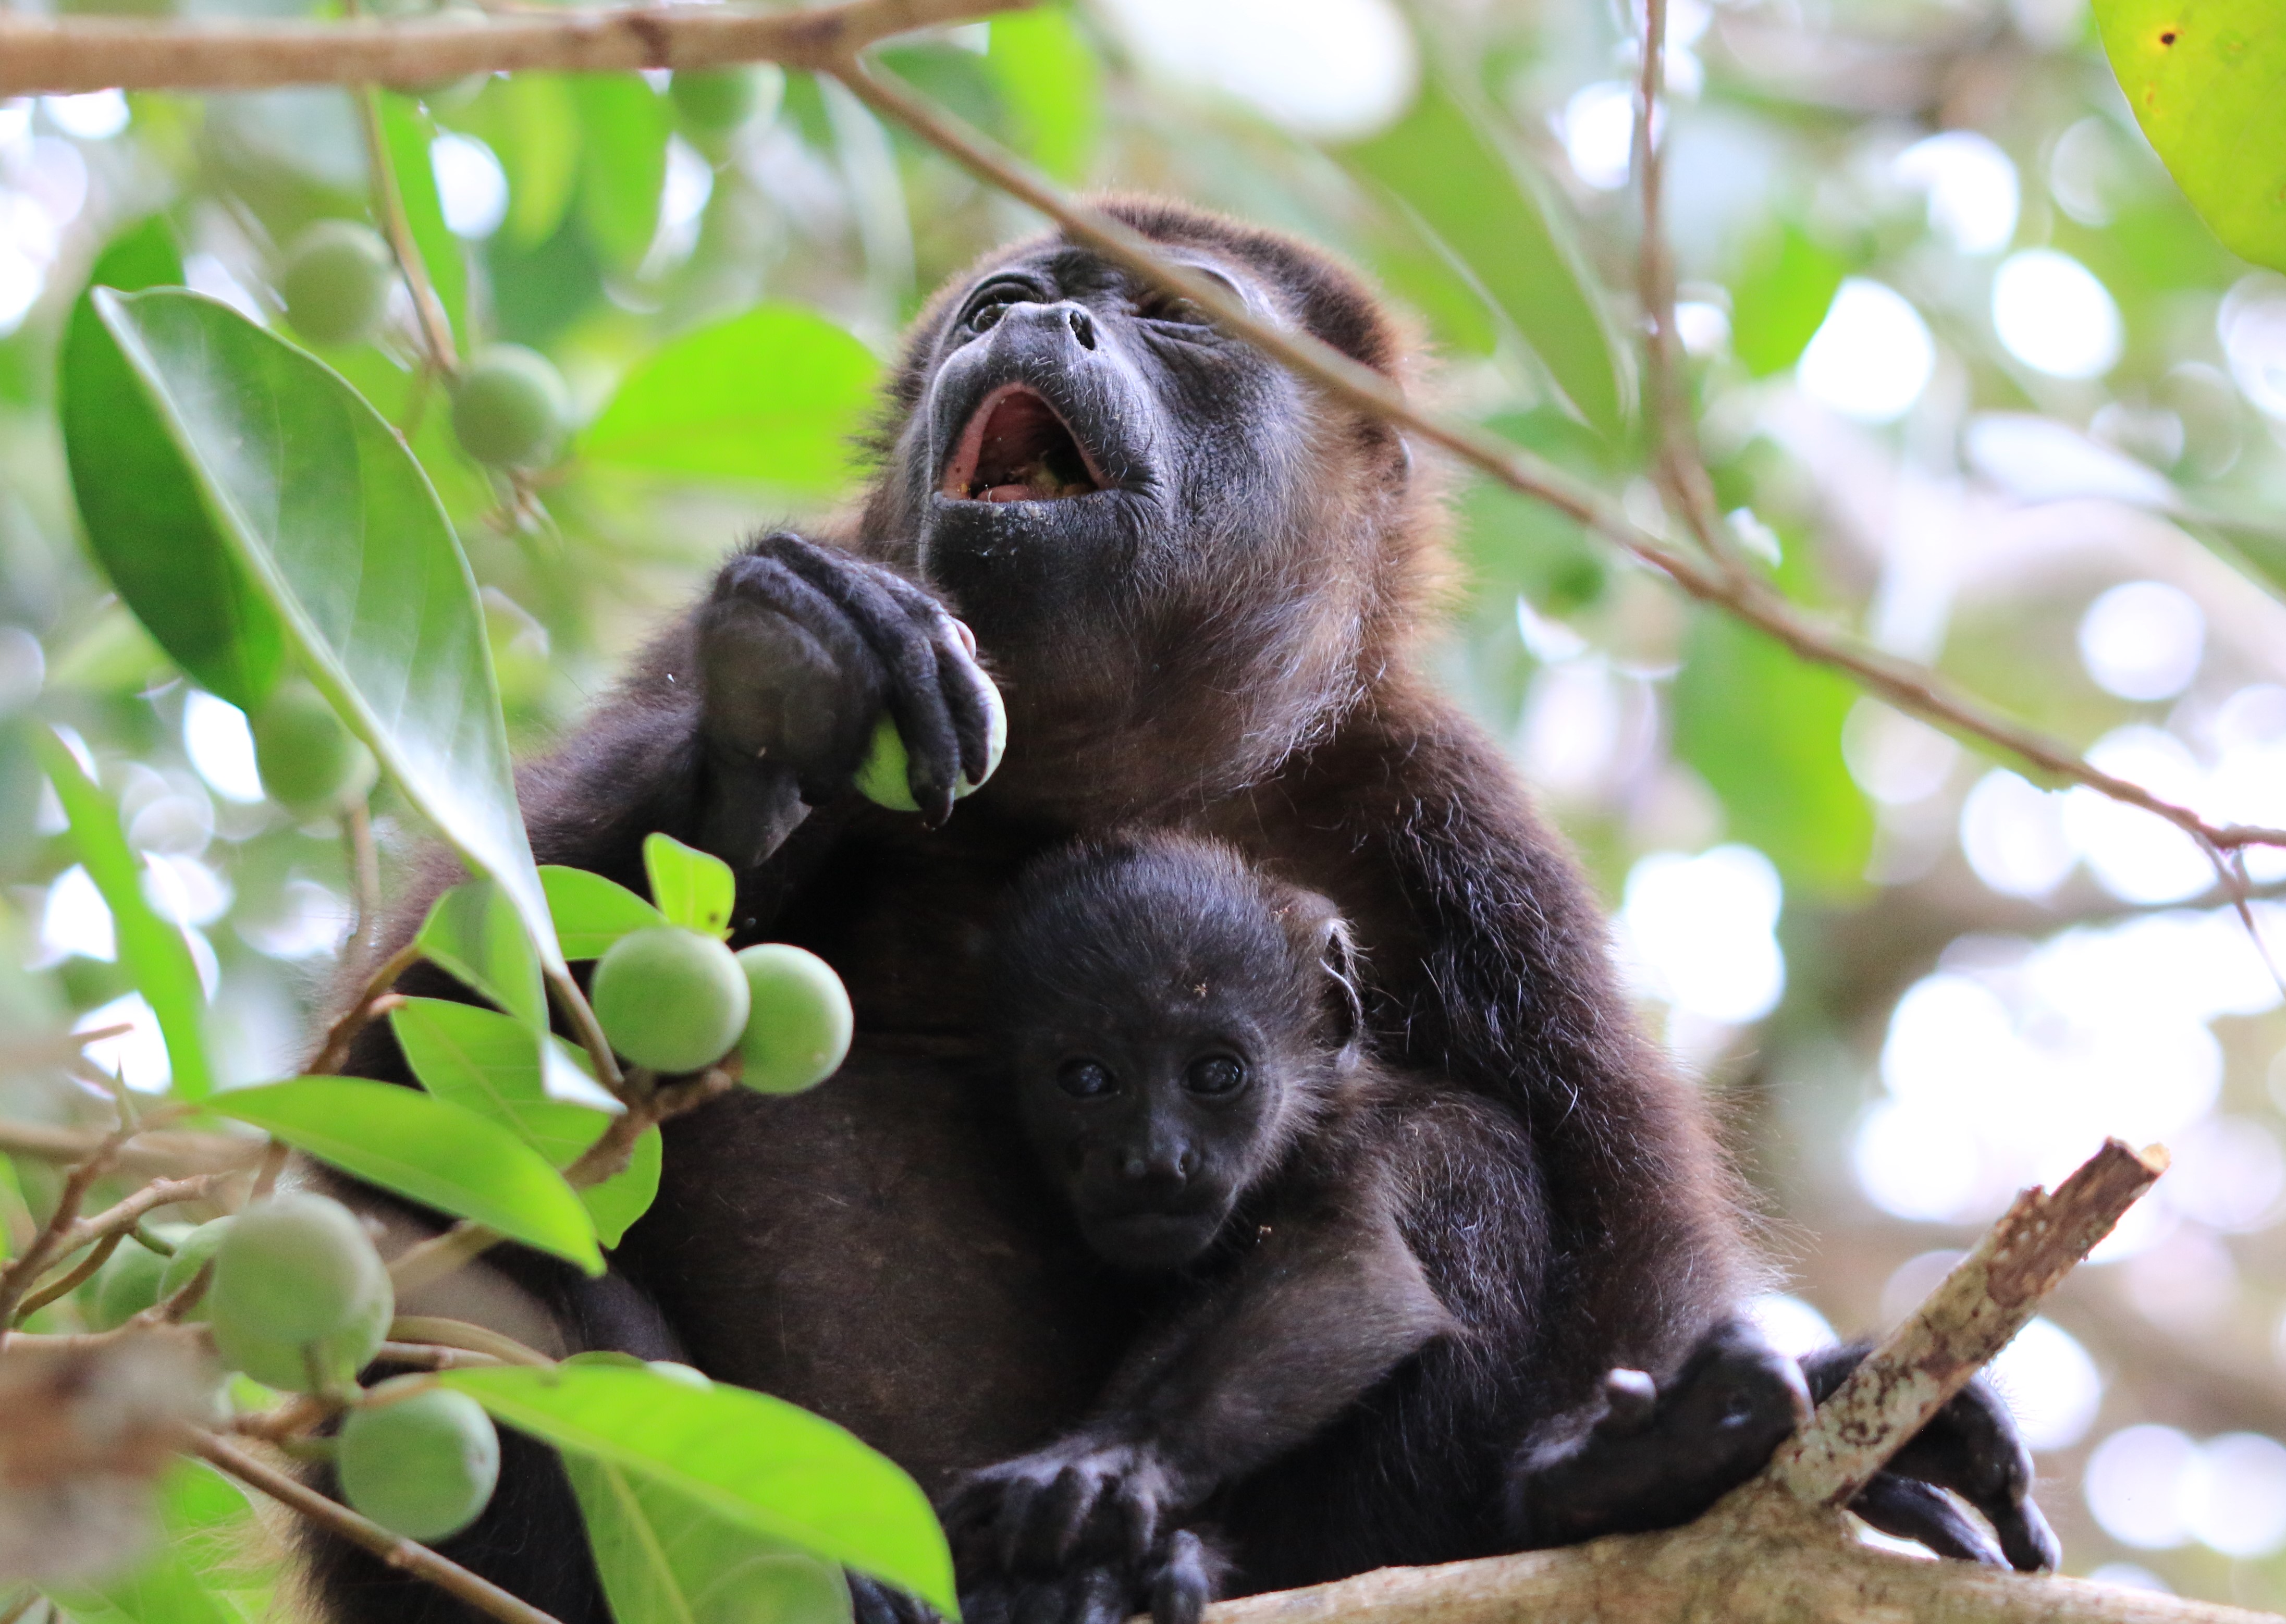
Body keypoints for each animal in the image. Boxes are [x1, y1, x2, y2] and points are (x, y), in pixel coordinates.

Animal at [317, 194, 2057, 1624]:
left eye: (1173, 317)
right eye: (1002, 299)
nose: (1030, 320)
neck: (1099, 772)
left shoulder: (1447, 817)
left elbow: (1616, 1186)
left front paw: (1654, 1461)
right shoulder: (652, 686)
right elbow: (396, 1069)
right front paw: (775, 703)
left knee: (1463, 1153)